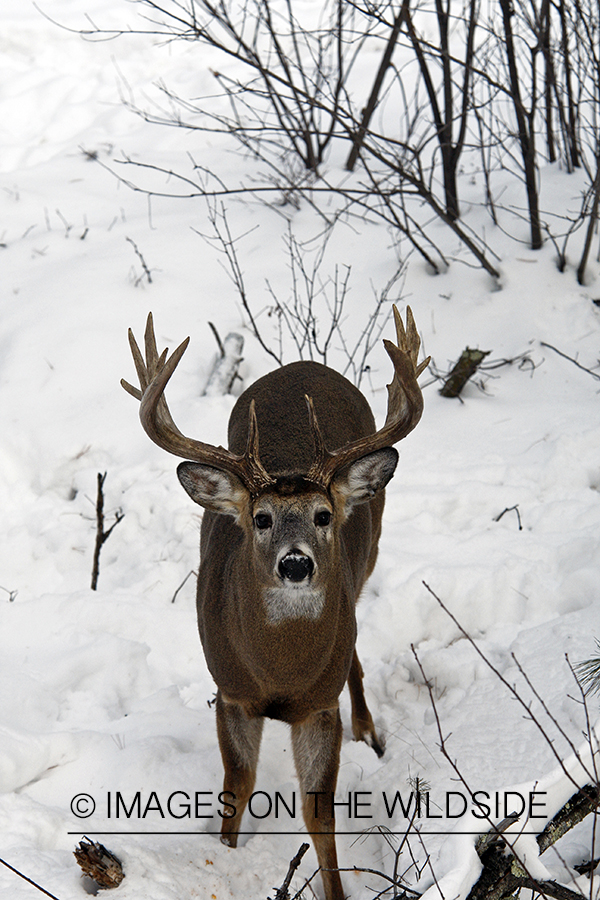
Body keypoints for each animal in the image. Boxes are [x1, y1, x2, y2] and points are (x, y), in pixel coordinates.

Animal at [122, 306, 428, 896]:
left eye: (323, 515)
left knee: (355, 647)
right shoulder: (232, 691)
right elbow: (236, 788)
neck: (279, 670)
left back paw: (368, 730)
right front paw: (225, 855)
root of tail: (302, 364)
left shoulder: (319, 707)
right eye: (261, 518)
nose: (296, 564)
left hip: (369, 556)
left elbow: (320, 815)